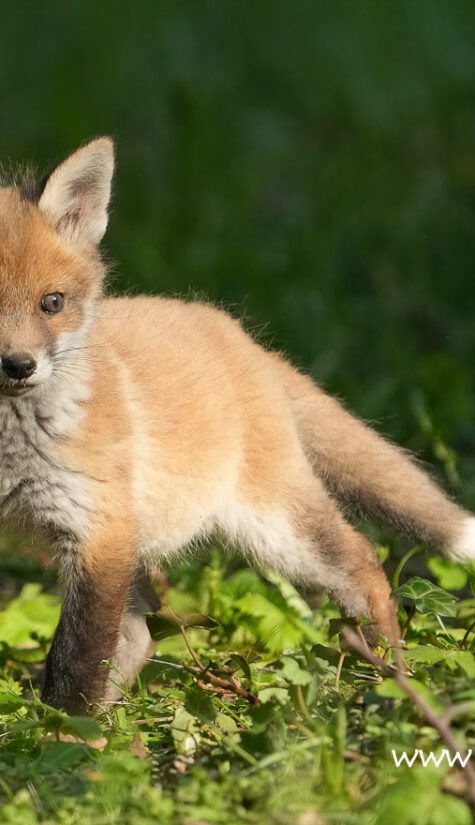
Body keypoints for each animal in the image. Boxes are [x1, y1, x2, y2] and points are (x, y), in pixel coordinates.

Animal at [0, 137, 474, 714]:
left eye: (52, 303)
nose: (19, 366)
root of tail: (240, 334)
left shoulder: (94, 528)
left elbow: (76, 658)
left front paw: (62, 729)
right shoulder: (98, 534)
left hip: (275, 526)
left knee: (363, 561)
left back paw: (389, 675)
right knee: (138, 633)